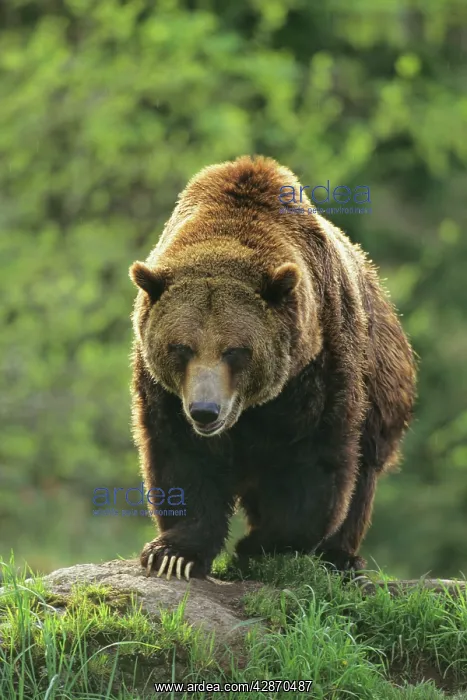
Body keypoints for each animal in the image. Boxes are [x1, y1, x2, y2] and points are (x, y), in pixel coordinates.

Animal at [129, 155, 416, 581]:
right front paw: (174, 554)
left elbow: (312, 465)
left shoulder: (315, 367)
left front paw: (261, 547)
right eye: (181, 347)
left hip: (382, 388)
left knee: (362, 474)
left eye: (235, 350)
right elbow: (181, 459)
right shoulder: (163, 391)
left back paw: (340, 557)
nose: (205, 411)